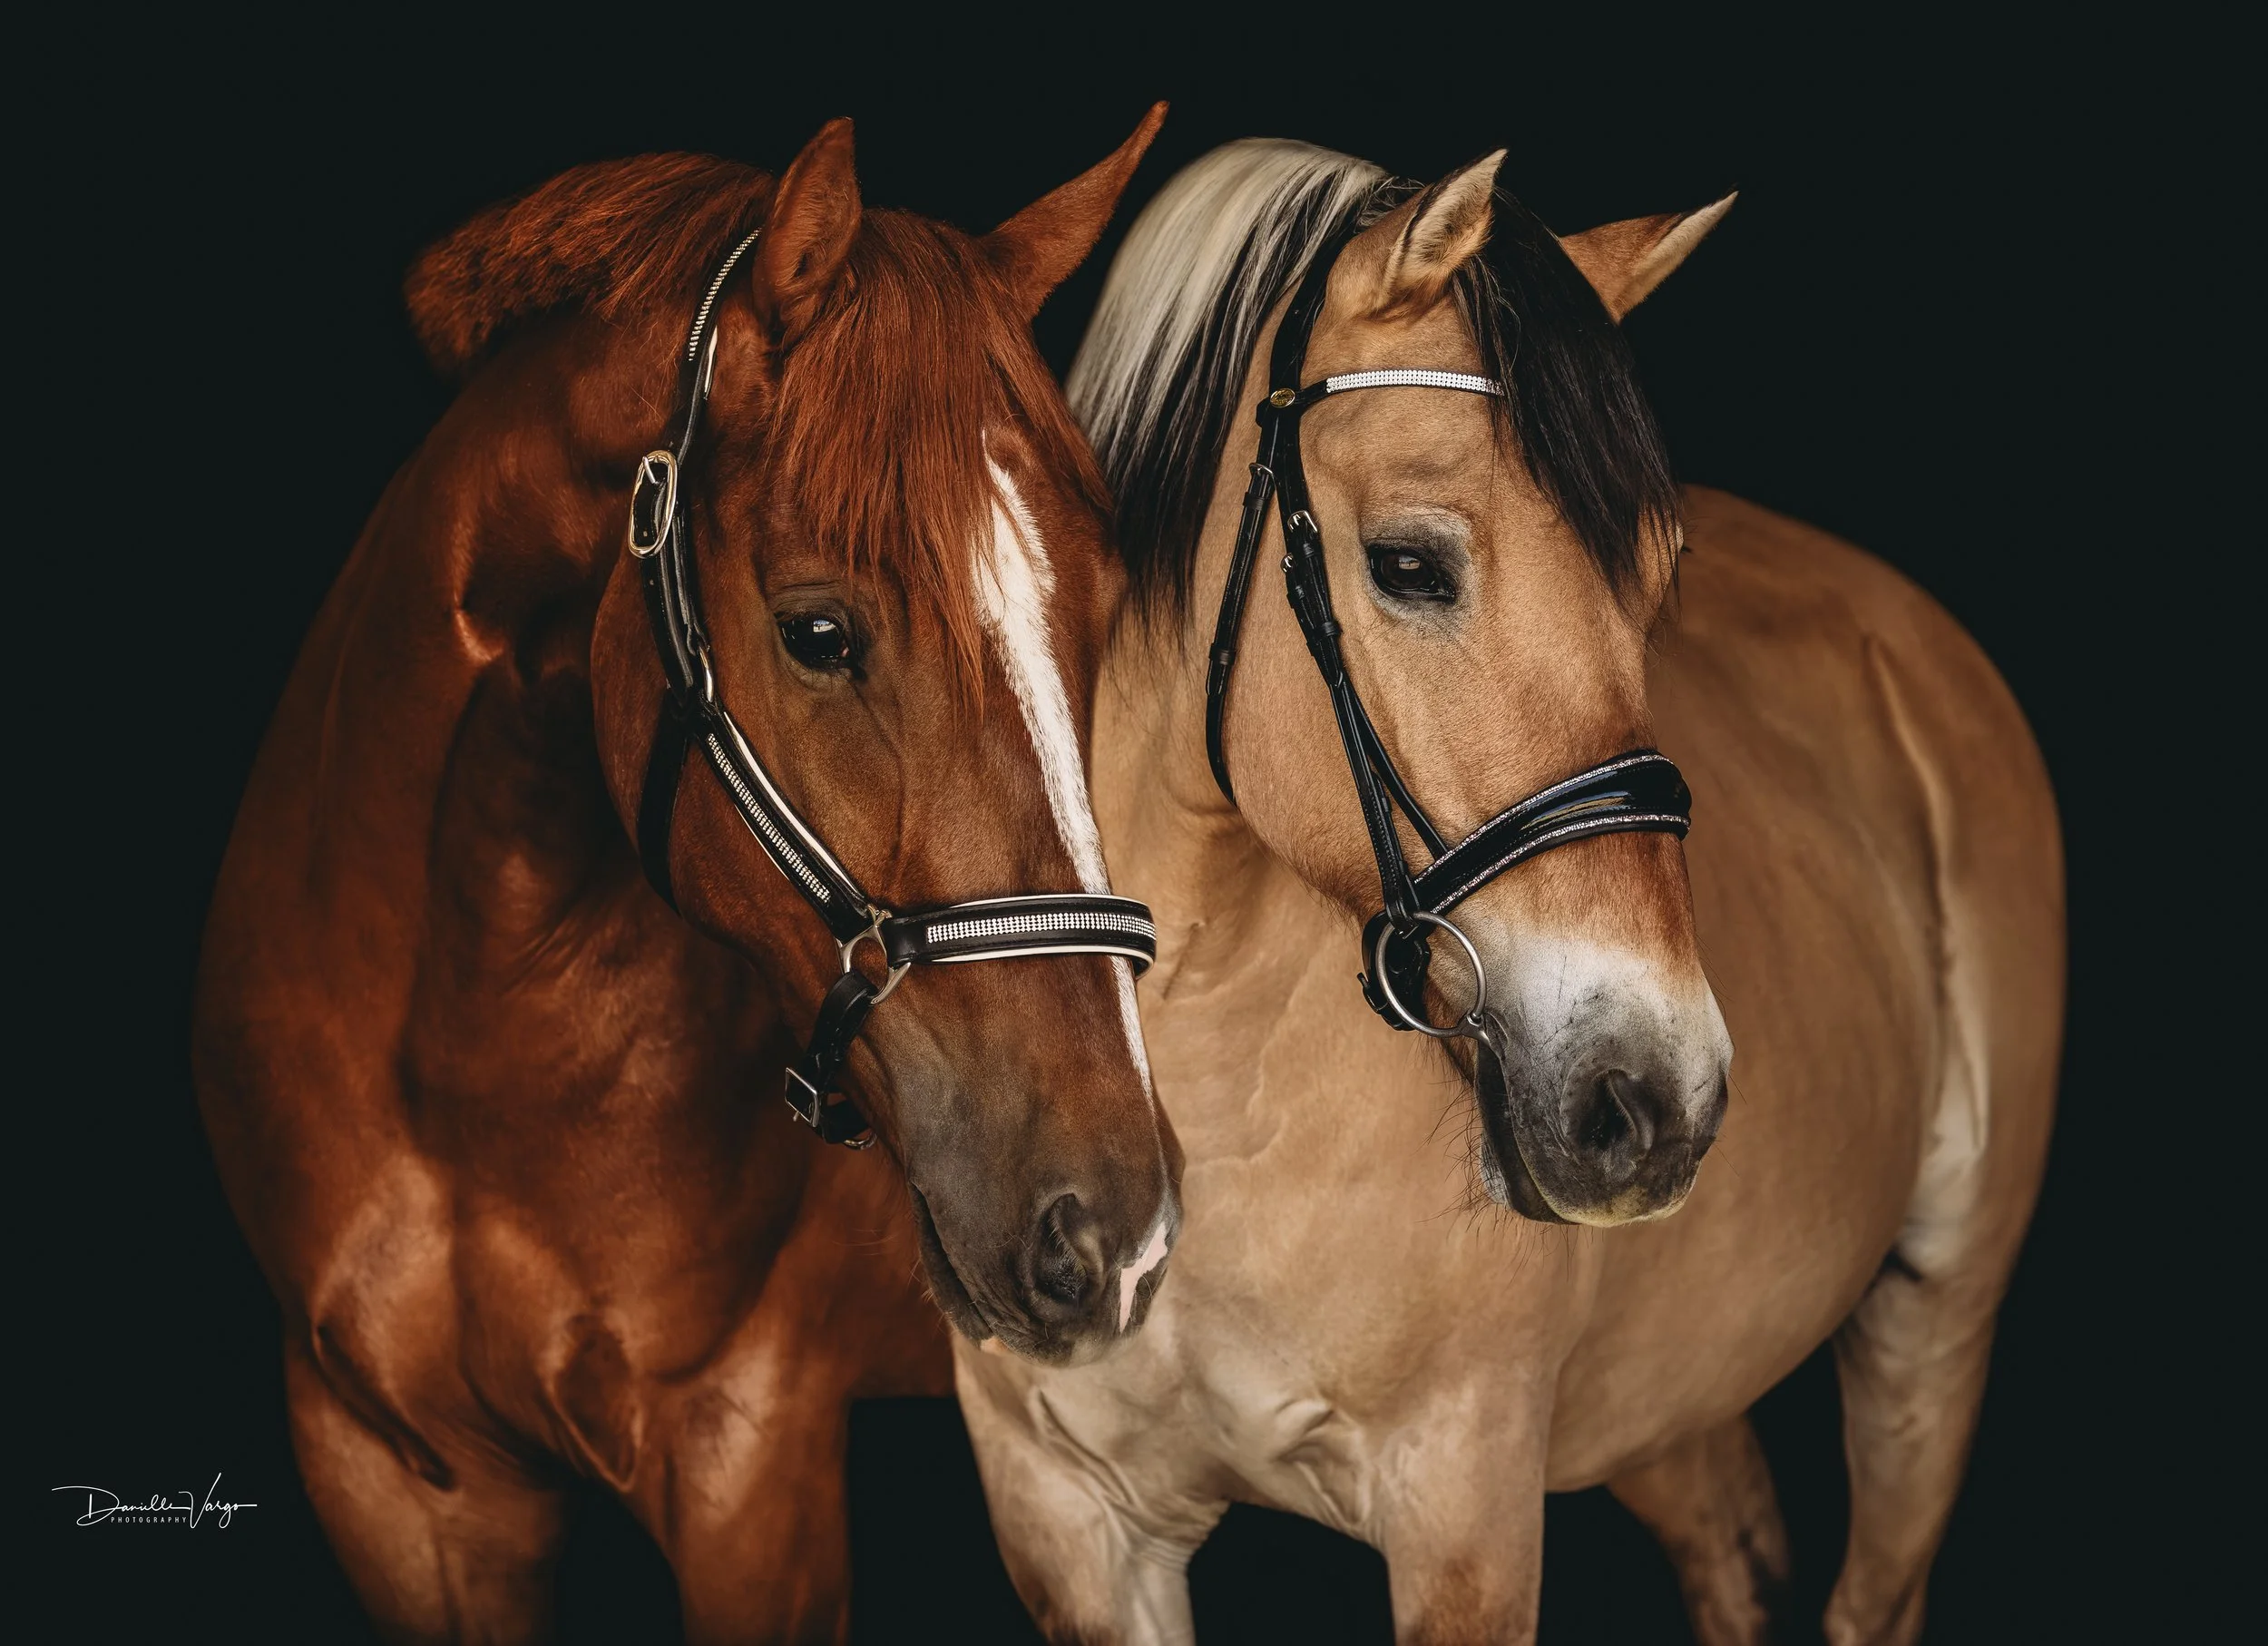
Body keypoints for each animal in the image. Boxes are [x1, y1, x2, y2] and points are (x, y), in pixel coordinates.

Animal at [192, 110, 1183, 1644]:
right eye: (820, 631)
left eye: (1096, 615)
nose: (1109, 1226)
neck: (460, 1061)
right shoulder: (396, 1479)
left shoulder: (749, 1467)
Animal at [954, 139, 2062, 1646]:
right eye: (1410, 564)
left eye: (1655, 581)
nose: (1658, 1095)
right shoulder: (1069, 1516)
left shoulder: (1463, 1504)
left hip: (1934, 1317)